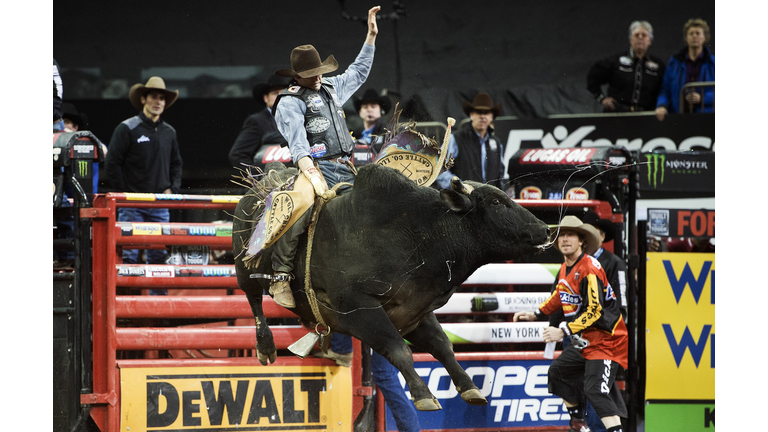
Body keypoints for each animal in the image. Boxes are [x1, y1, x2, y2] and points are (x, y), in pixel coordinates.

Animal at [231, 161, 548, 408]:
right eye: (496, 202)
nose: (544, 229)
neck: (417, 234)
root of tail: (262, 183)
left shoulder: (414, 310)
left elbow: (442, 346)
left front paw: (470, 387)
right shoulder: (359, 308)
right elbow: (398, 349)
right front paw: (423, 394)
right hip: (243, 269)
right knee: (254, 302)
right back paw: (266, 346)